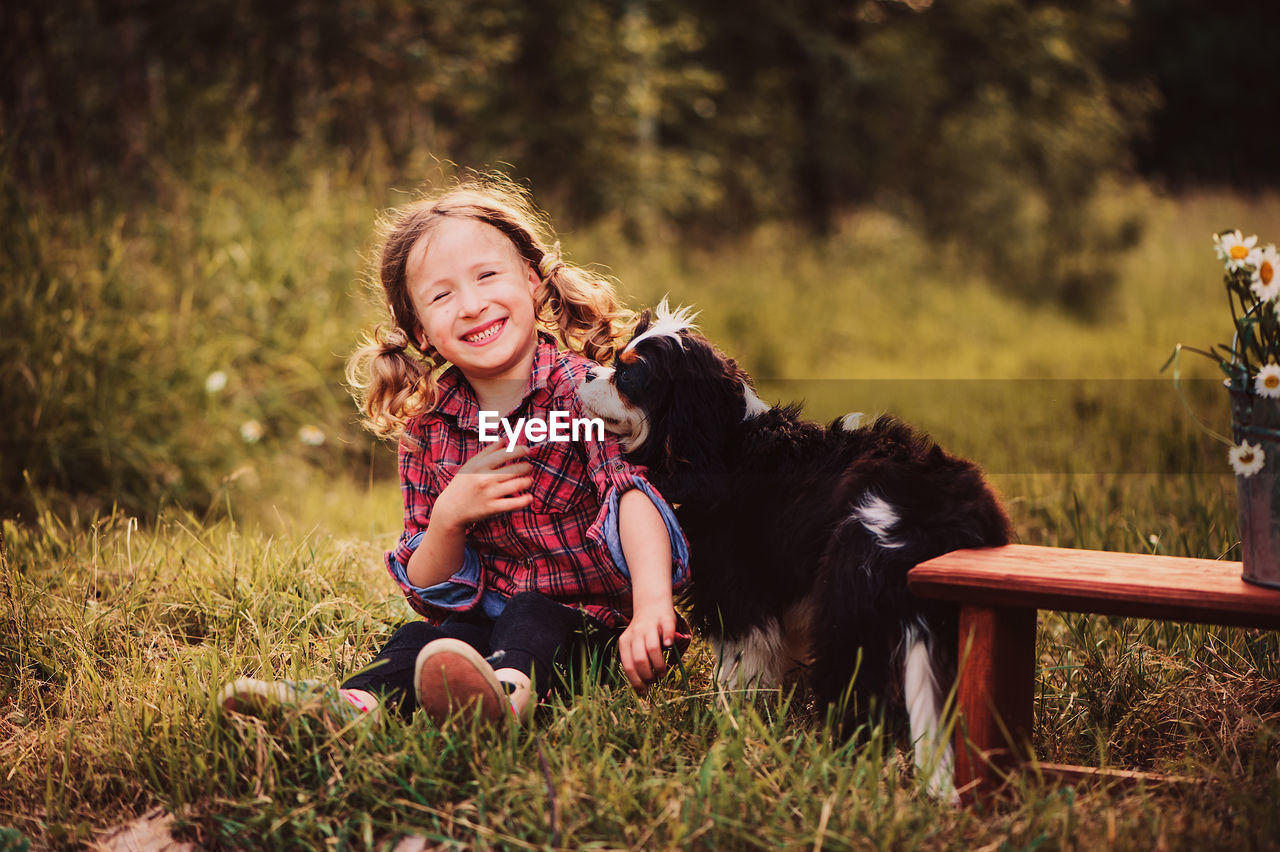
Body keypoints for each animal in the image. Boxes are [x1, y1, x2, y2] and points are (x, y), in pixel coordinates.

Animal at [581, 300, 1008, 798]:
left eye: (627, 376)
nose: (587, 372)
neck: (724, 440)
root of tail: (929, 517)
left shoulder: (737, 590)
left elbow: (741, 664)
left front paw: (730, 719)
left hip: (849, 610)